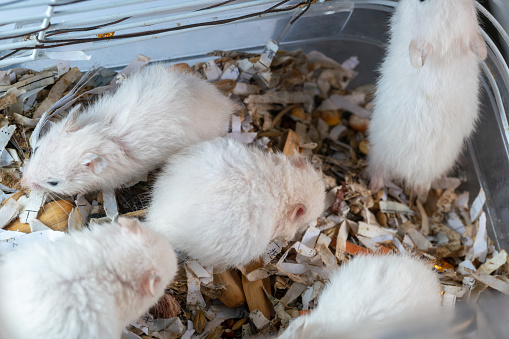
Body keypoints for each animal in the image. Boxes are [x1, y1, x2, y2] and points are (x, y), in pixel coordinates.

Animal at [368, 0, 486, 195]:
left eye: (422, 1)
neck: (446, 54)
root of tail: (409, 171)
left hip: (378, 154)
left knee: (377, 175)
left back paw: (372, 186)